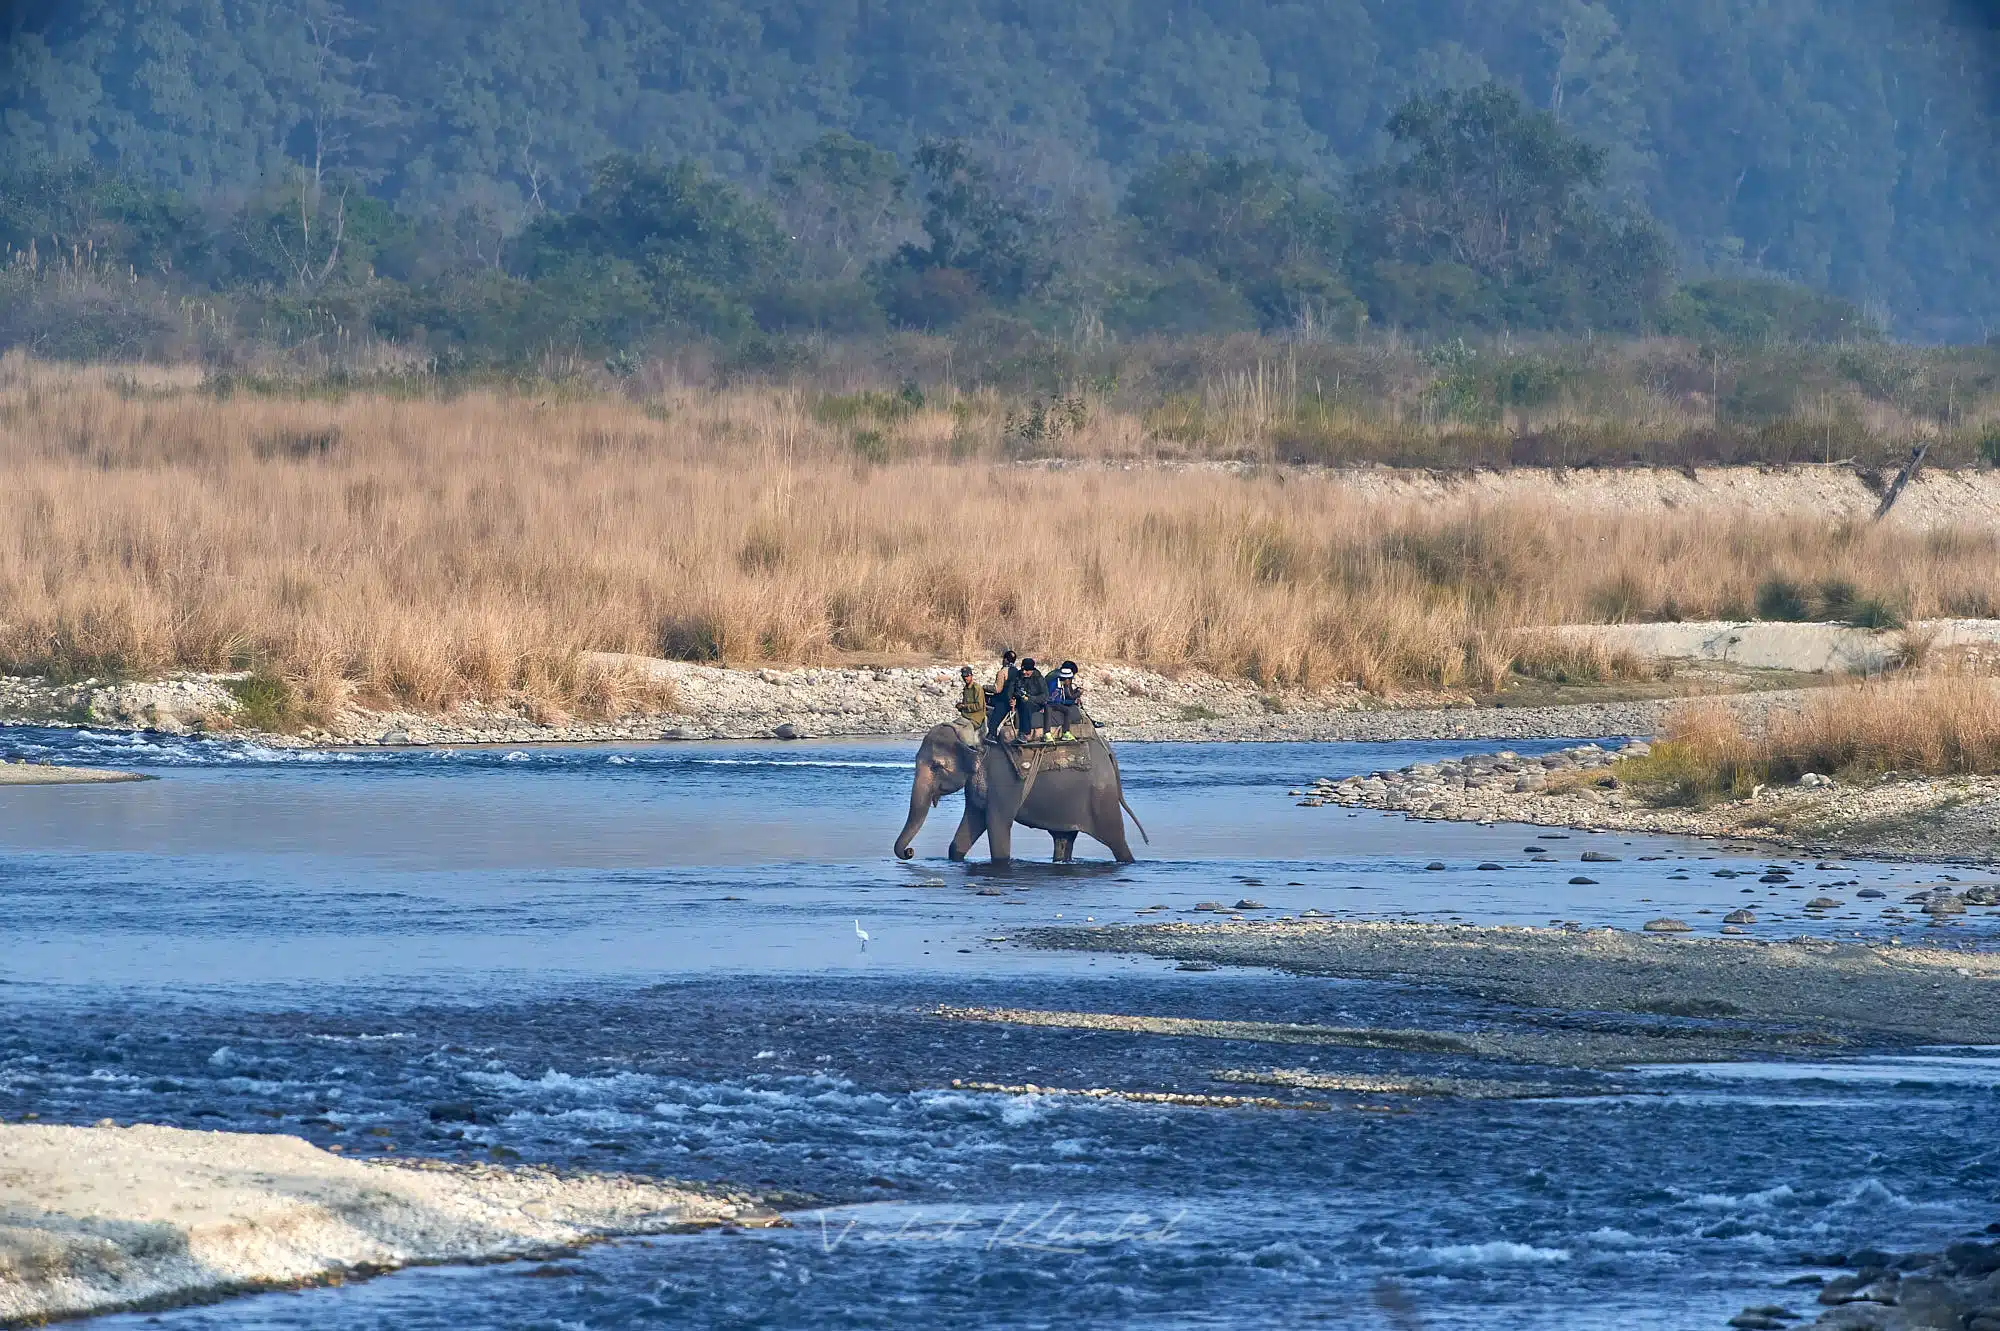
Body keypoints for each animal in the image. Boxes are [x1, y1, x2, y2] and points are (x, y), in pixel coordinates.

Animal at [893, 721, 1146, 864]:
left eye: (936, 766)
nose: (910, 852)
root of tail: (1108, 751)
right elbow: (971, 825)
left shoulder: (1005, 781)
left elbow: (997, 825)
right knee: (1063, 840)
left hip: (1102, 797)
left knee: (1117, 842)